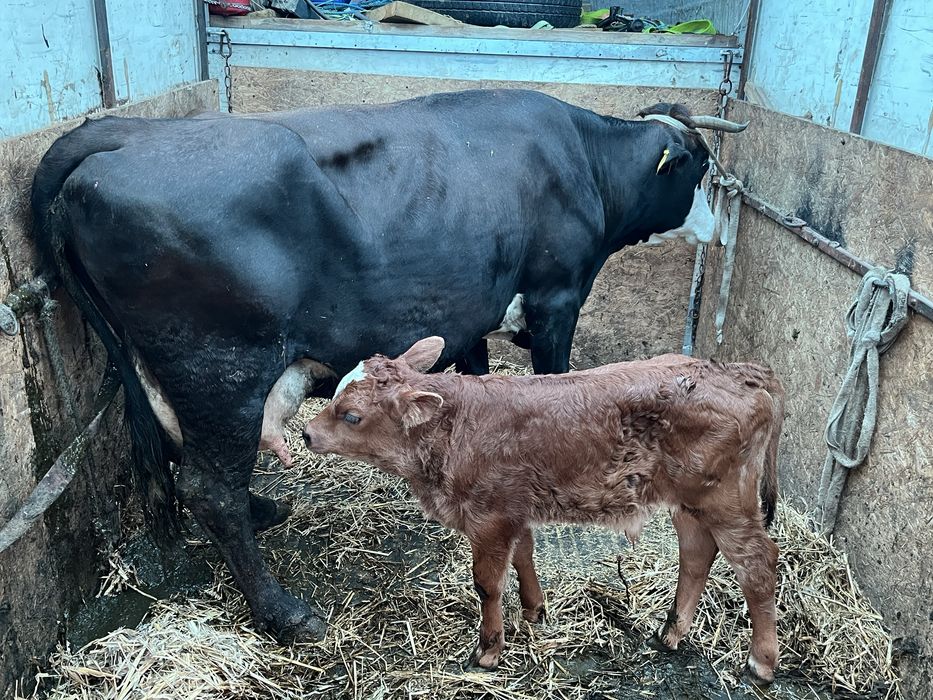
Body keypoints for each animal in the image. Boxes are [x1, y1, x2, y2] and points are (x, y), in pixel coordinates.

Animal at [22, 89, 748, 642]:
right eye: (698, 166)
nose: (720, 231)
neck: (581, 161)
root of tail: (123, 133)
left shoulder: (468, 318)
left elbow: (477, 390)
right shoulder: (555, 301)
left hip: (164, 371)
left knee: (188, 459)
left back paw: (263, 510)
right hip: (219, 366)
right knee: (209, 487)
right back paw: (285, 612)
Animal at [302, 337, 784, 683]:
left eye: (351, 415)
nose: (306, 433)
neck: (453, 429)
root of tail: (741, 373)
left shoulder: (489, 517)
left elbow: (488, 585)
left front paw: (489, 649)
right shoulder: (513, 510)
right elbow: (524, 556)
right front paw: (535, 611)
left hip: (726, 500)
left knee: (757, 564)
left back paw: (761, 661)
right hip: (689, 502)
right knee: (697, 555)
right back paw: (671, 632)